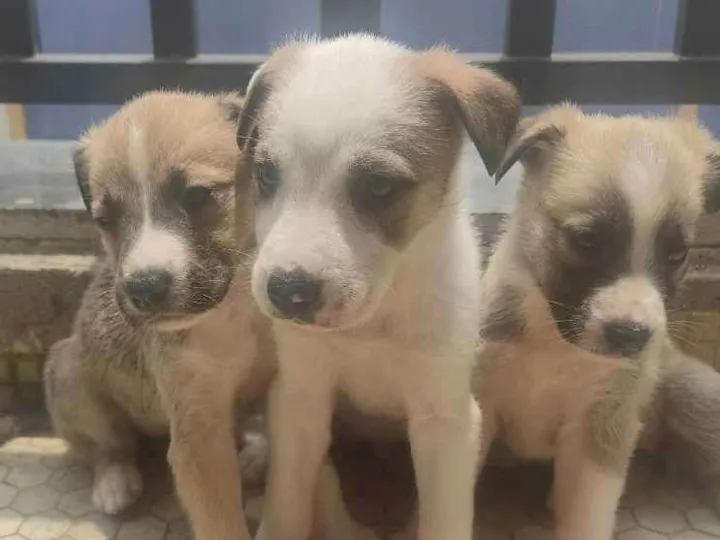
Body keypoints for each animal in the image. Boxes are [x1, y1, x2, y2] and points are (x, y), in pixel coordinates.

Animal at [43, 90, 273, 540]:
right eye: (106, 220)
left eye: (197, 196)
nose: (144, 289)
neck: (234, 309)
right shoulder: (198, 432)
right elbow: (220, 520)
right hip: (69, 376)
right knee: (106, 446)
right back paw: (114, 483)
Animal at [234, 34, 520, 540]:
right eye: (266, 175)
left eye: (379, 186)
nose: (287, 291)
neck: (375, 320)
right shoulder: (301, 397)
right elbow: (287, 503)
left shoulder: (444, 420)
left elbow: (442, 520)